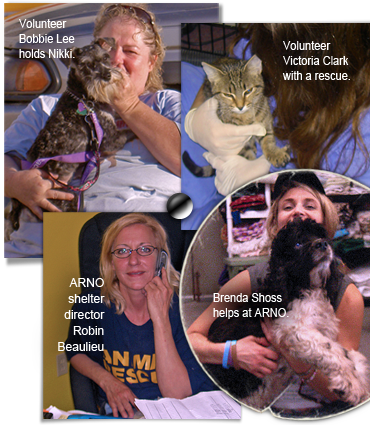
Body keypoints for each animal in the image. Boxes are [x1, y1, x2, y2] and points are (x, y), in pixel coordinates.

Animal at [9, 38, 135, 230]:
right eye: (87, 65)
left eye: (106, 57)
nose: (107, 75)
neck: (83, 97)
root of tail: (22, 205)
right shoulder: (110, 138)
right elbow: (129, 130)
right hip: (69, 201)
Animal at [204, 217, 368, 410]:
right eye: (298, 243)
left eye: (319, 235)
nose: (323, 244)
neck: (305, 287)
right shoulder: (289, 328)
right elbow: (332, 350)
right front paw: (352, 384)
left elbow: (345, 351)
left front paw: (359, 372)